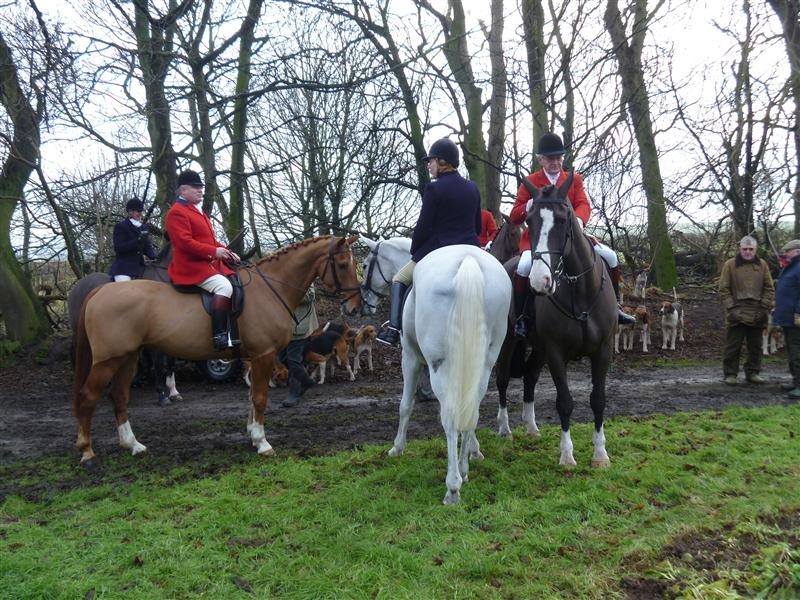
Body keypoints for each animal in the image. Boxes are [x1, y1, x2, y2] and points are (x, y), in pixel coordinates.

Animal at [72, 235, 362, 466]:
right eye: (343, 265)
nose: (356, 307)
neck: (270, 288)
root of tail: (100, 290)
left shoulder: (254, 357)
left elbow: (251, 397)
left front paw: (252, 436)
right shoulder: (263, 355)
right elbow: (260, 397)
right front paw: (262, 442)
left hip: (127, 358)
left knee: (119, 396)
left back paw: (133, 445)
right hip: (107, 360)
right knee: (88, 396)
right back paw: (86, 451)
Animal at [386, 245, 511, 504]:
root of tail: (468, 260)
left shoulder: (410, 358)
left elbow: (405, 405)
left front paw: (397, 447)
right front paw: (476, 451)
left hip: (439, 366)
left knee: (451, 417)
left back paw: (453, 486)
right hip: (484, 363)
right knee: (471, 411)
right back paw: (463, 470)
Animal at [494, 173, 616, 468]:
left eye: (563, 220)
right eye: (530, 221)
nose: (540, 282)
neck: (579, 290)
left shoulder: (603, 350)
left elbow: (598, 399)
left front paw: (600, 454)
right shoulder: (556, 352)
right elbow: (565, 402)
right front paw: (567, 455)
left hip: (538, 348)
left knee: (529, 377)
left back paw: (531, 428)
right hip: (508, 339)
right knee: (502, 377)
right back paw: (505, 429)